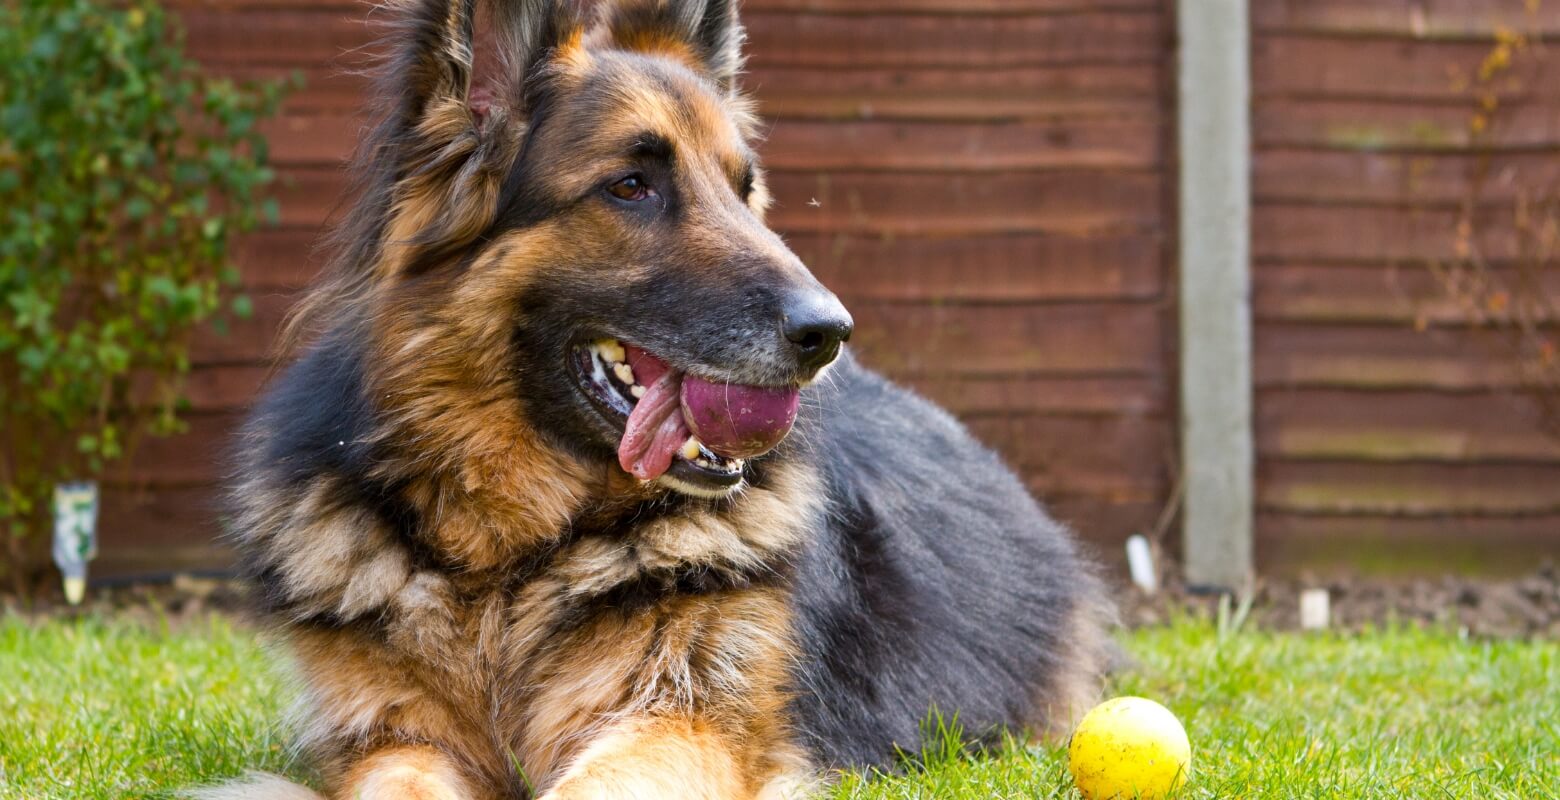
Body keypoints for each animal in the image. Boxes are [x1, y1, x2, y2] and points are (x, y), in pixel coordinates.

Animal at [204, 1, 1110, 792]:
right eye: (631, 185)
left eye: (744, 189)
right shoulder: (398, 738)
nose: (830, 333)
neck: (509, 560)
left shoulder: (680, 721)